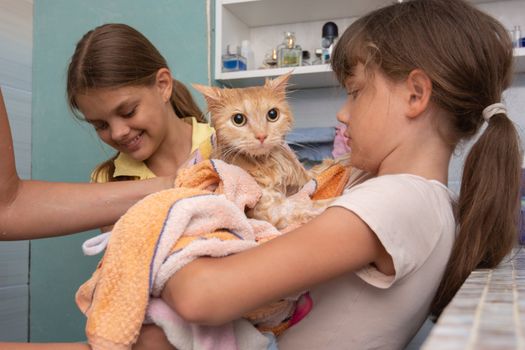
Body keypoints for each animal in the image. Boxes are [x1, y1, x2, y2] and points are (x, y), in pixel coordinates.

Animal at [193, 73, 324, 230]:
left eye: (273, 114)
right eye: (238, 119)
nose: (261, 135)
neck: (265, 163)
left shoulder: (303, 179)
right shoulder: (266, 209)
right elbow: (302, 209)